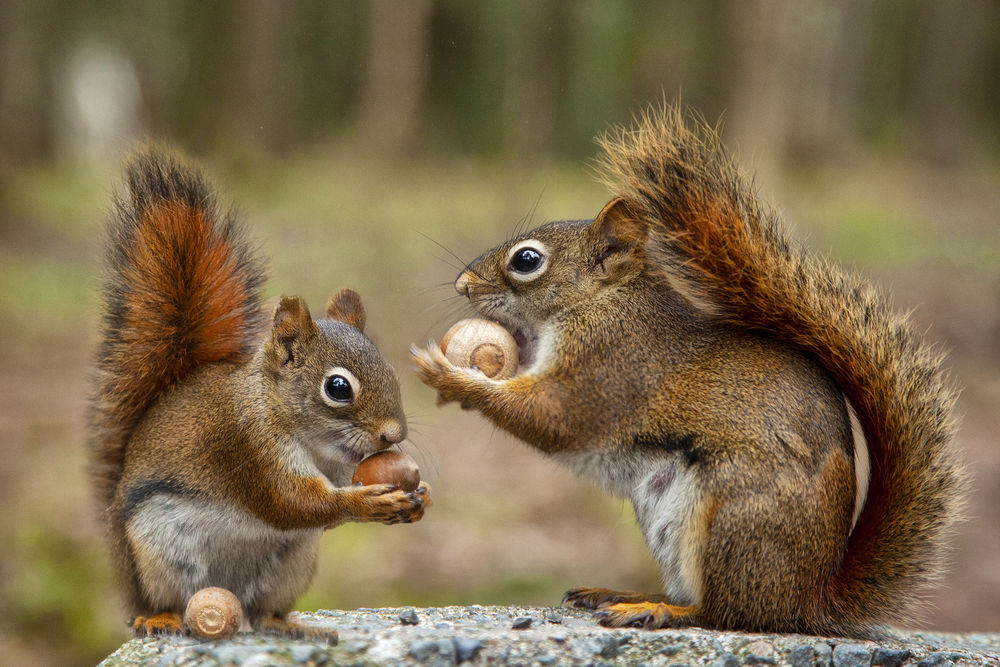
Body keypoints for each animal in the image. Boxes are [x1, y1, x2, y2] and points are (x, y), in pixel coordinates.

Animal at [88, 149, 428, 640]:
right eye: (337, 387)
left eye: (389, 370)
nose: (393, 435)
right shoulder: (244, 444)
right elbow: (293, 502)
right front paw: (366, 502)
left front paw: (420, 498)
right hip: (154, 557)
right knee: (158, 601)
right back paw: (159, 617)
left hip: (291, 565)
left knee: (264, 610)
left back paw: (292, 626)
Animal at [410, 105, 964, 636]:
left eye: (527, 260)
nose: (462, 285)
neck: (606, 302)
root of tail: (807, 600)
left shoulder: (609, 368)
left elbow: (554, 417)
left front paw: (448, 376)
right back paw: (622, 593)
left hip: (730, 519)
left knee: (723, 612)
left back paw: (657, 610)